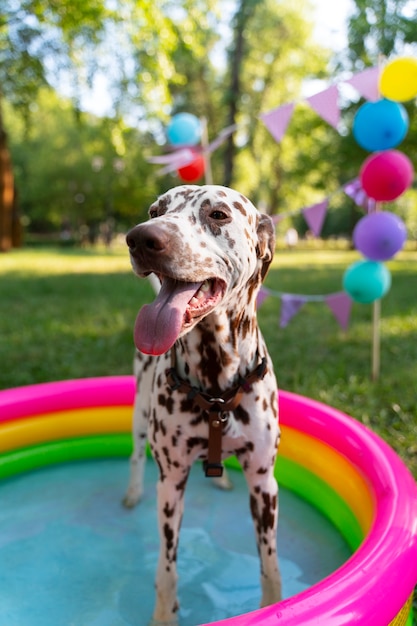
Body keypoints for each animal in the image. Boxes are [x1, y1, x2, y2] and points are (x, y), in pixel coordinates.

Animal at [122, 183, 280, 620]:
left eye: (218, 214)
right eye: (156, 210)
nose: (141, 238)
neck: (215, 384)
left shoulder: (264, 483)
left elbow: (270, 567)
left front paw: (275, 606)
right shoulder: (171, 483)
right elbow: (167, 569)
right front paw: (164, 615)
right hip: (140, 415)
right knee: (136, 455)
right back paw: (132, 491)